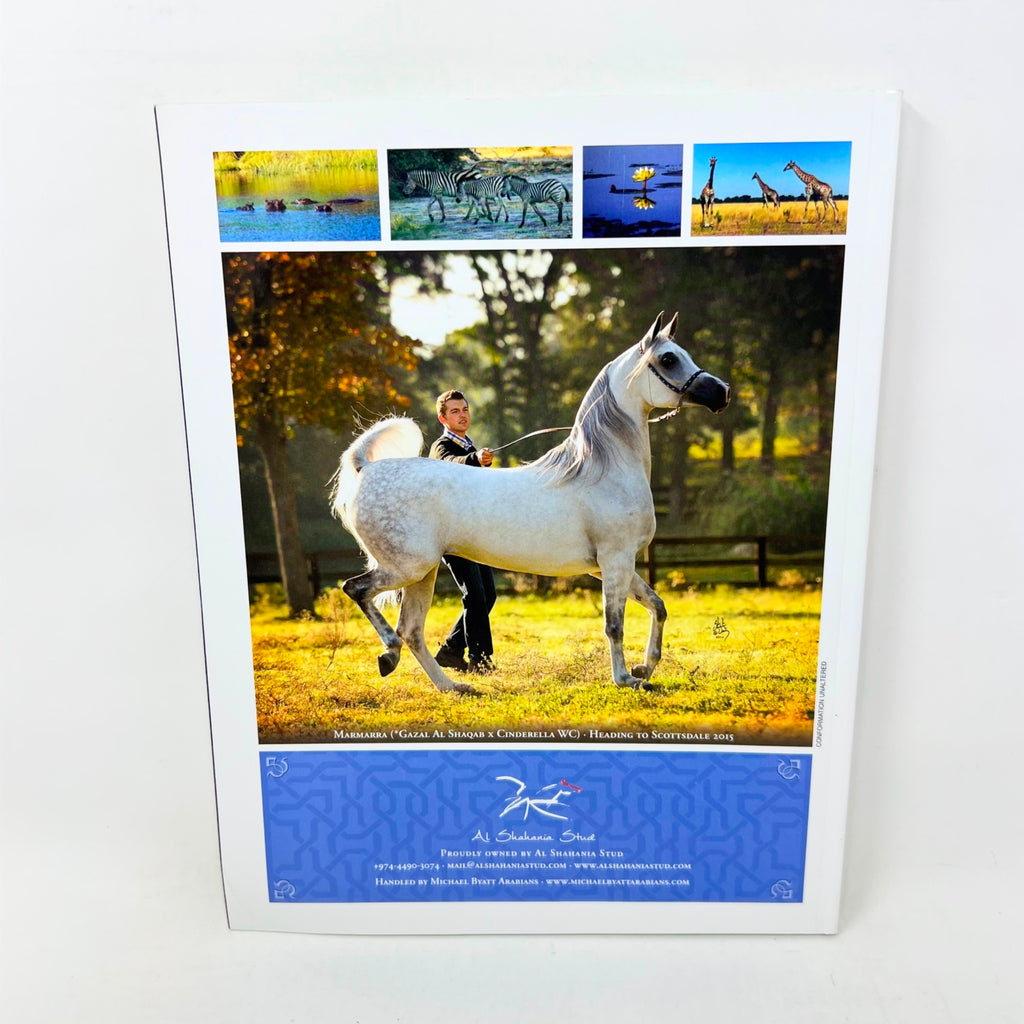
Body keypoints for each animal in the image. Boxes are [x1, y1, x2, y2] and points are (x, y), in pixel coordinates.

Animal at [330, 312, 730, 695]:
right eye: (668, 358)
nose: (722, 393)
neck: (601, 469)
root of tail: (365, 467)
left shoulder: (612, 565)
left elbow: (657, 607)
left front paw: (644, 668)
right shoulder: (614, 561)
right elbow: (614, 625)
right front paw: (625, 679)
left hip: (422, 573)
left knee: (411, 630)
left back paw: (454, 686)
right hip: (407, 568)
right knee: (358, 591)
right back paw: (389, 654)